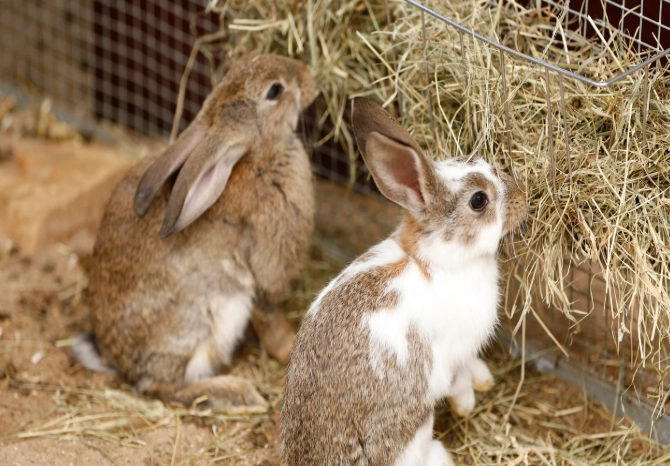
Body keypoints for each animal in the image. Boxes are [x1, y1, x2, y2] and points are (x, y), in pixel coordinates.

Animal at [72, 53, 317, 414]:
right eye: (275, 90)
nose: (308, 75)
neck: (256, 159)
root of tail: (115, 360)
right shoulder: (265, 267)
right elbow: (270, 314)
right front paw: (287, 350)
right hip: (193, 325)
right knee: (159, 386)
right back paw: (238, 393)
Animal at [281, 97, 527, 465]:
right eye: (479, 200)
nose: (523, 197)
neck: (437, 261)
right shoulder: (450, 354)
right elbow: (458, 379)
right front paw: (467, 404)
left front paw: (483, 379)